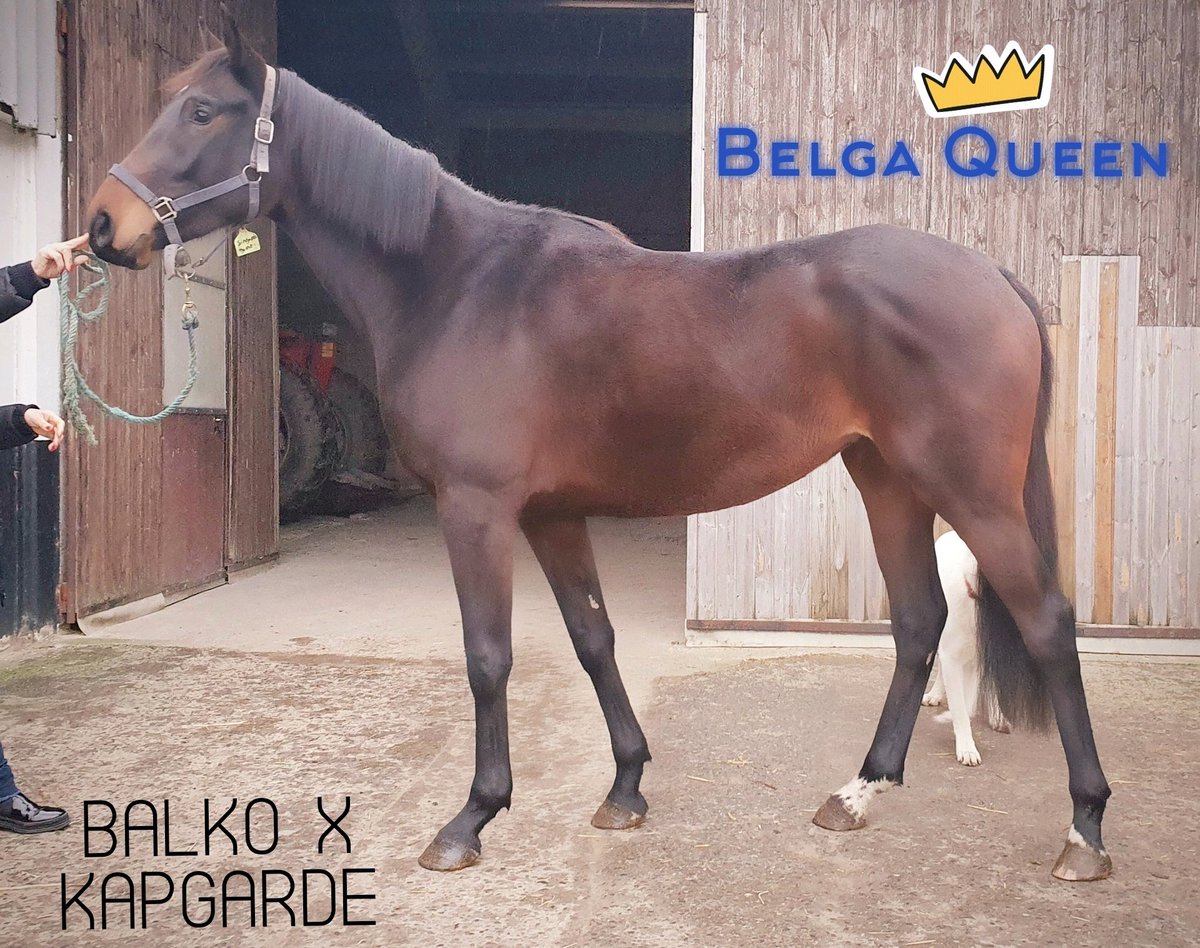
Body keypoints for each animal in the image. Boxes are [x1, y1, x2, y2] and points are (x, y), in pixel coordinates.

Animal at [84, 16, 1112, 883]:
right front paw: (625, 788)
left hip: (970, 492)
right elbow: (592, 639)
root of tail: (994, 277)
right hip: (887, 478)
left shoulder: (479, 509)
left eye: (202, 111)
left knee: (1047, 623)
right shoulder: (553, 515)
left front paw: (471, 820)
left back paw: (1084, 830)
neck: (458, 282)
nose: (102, 227)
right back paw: (856, 794)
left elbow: (488, 656)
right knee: (917, 622)